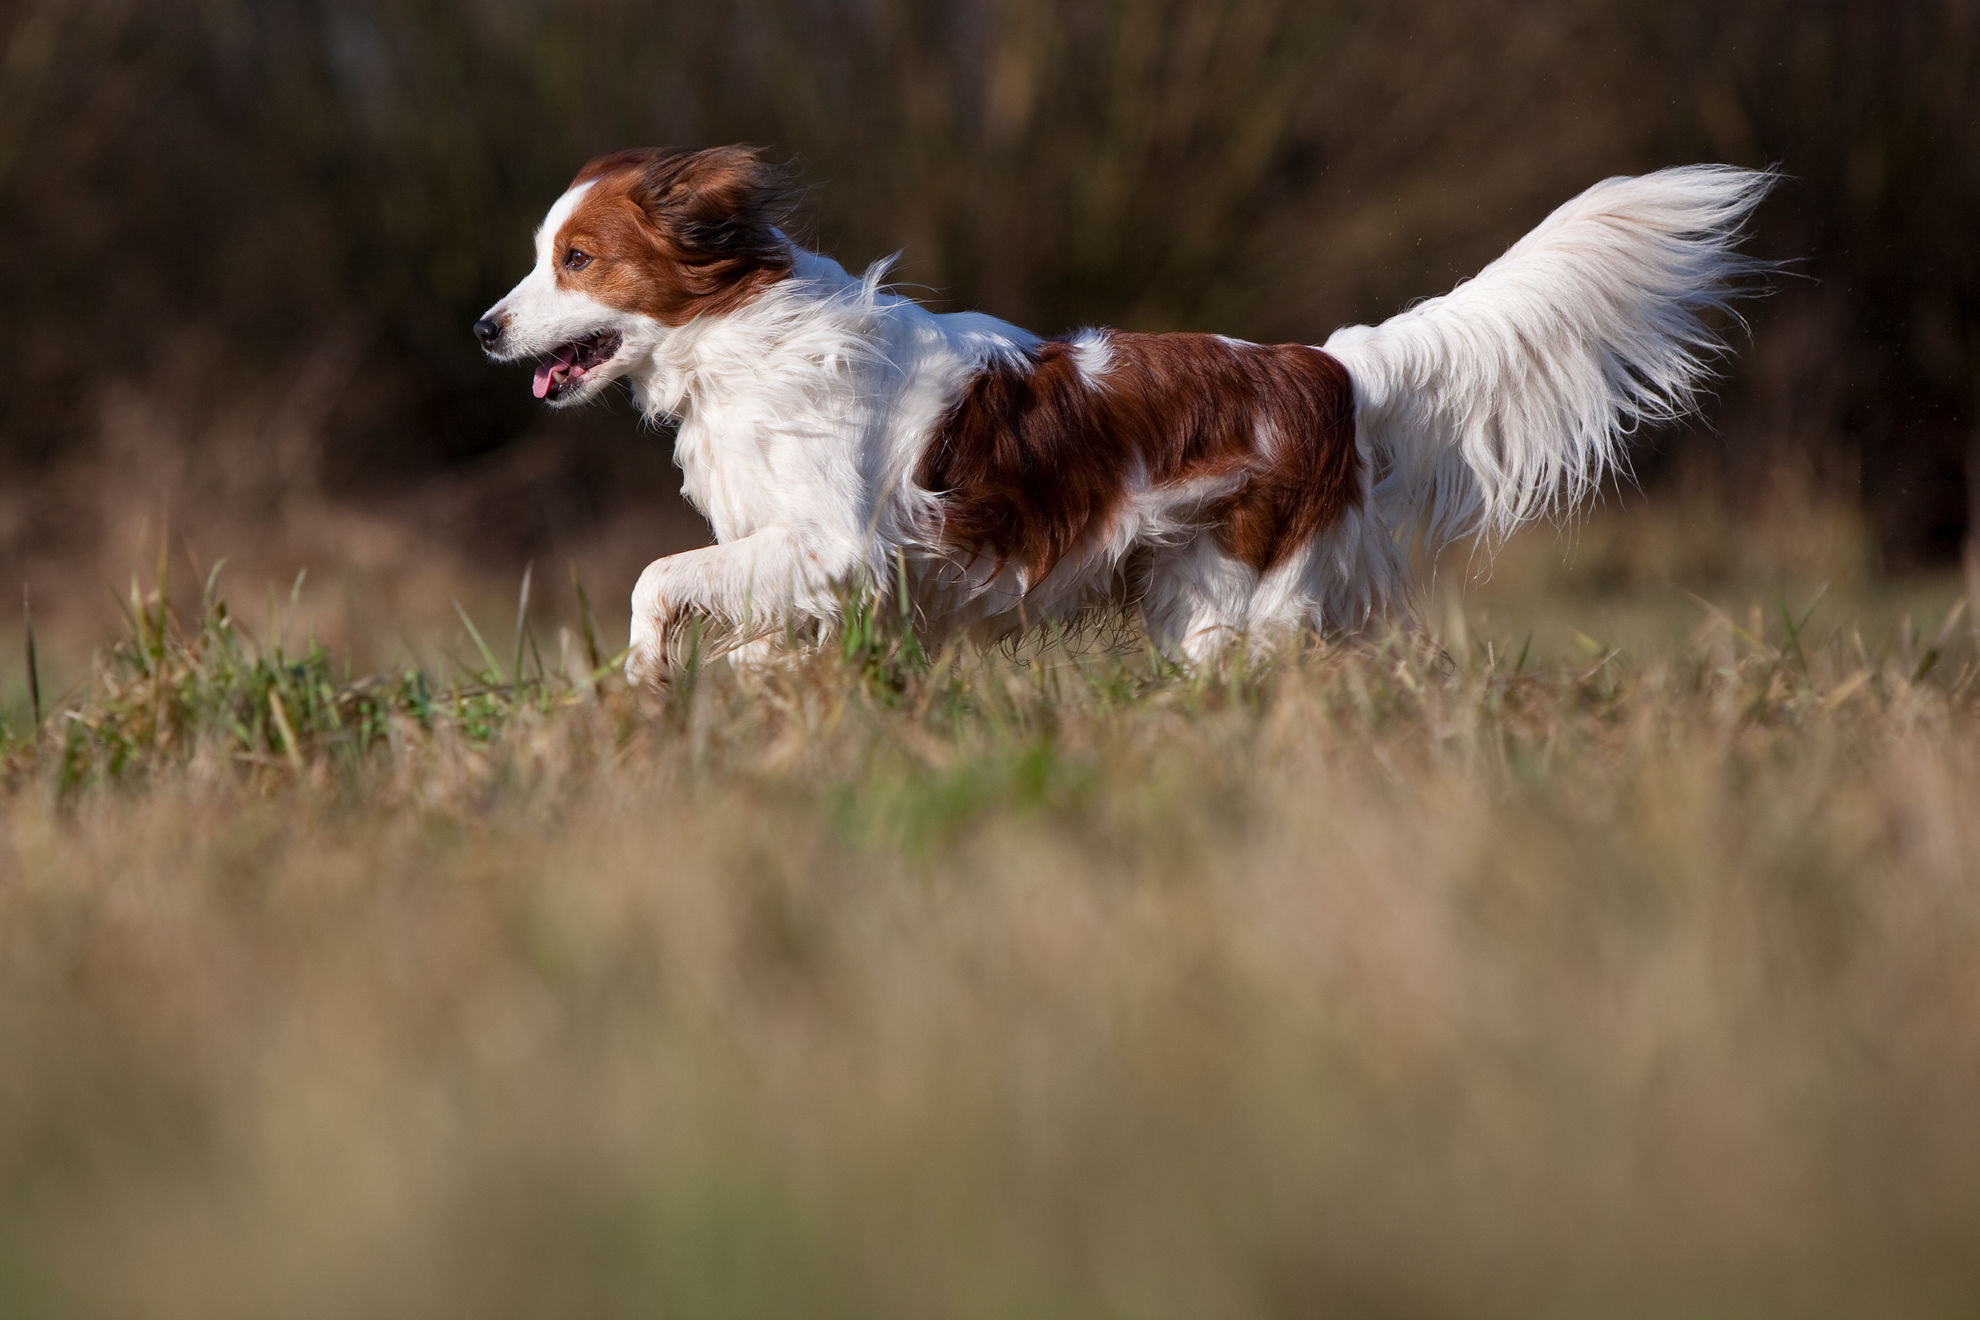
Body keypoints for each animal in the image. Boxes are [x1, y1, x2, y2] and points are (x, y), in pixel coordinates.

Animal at [471, 147, 1774, 680]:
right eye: (541, 256)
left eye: (577, 260)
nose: (484, 328)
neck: (744, 337)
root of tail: (1327, 367)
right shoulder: (806, 569)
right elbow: (744, 638)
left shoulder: (830, 546)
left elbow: (655, 580)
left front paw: (645, 679)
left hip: (1242, 599)